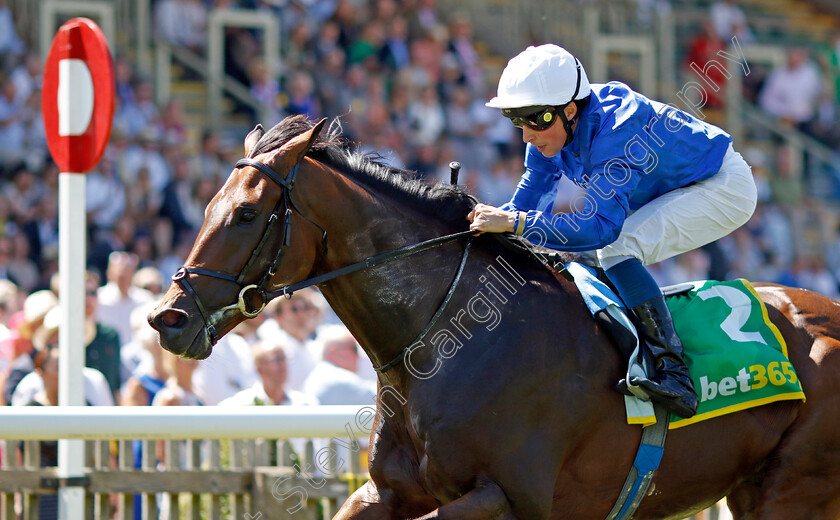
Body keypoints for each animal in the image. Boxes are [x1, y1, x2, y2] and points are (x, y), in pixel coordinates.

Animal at [148, 115, 840, 520]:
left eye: (245, 213)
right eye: (205, 205)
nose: (167, 319)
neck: (446, 339)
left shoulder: (509, 499)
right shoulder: (388, 492)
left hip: (791, 491)